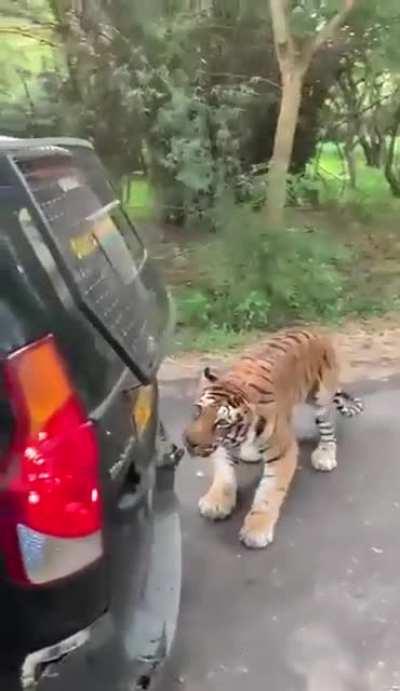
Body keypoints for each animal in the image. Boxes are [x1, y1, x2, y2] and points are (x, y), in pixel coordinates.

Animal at [183, 328, 363, 549]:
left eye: (222, 423)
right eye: (198, 411)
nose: (189, 443)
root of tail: (315, 330)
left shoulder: (283, 451)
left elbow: (268, 493)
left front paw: (256, 530)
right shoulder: (222, 447)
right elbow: (224, 474)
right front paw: (216, 503)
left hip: (320, 398)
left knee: (328, 427)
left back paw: (325, 455)